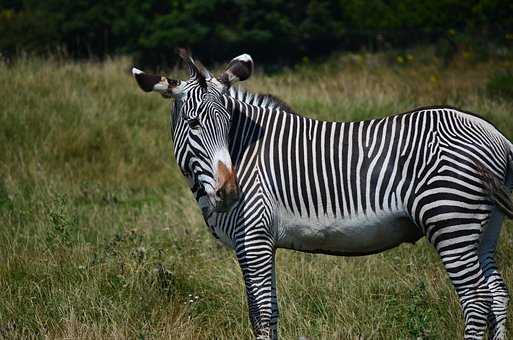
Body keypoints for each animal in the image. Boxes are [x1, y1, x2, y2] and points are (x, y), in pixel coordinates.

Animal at [131, 49, 512, 338]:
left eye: (228, 123)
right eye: (194, 123)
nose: (230, 191)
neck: (243, 152)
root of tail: (495, 135)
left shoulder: (253, 237)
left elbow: (262, 315)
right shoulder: (256, 242)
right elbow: (268, 312)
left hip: (450, 220)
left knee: (476, 300)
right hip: (483, 228)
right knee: (496, 295)